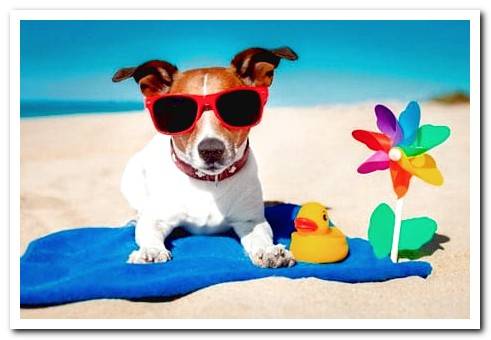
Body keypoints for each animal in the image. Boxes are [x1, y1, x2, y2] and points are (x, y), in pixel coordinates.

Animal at [114, 45, 300, 268]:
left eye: (238, 106)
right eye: (176, 110)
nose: (211, 150)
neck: (207, 184)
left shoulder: (251, 221)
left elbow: (261, 236)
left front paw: (268, 251)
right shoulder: (156, 219)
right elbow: (148, 231)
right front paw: (151, 250)